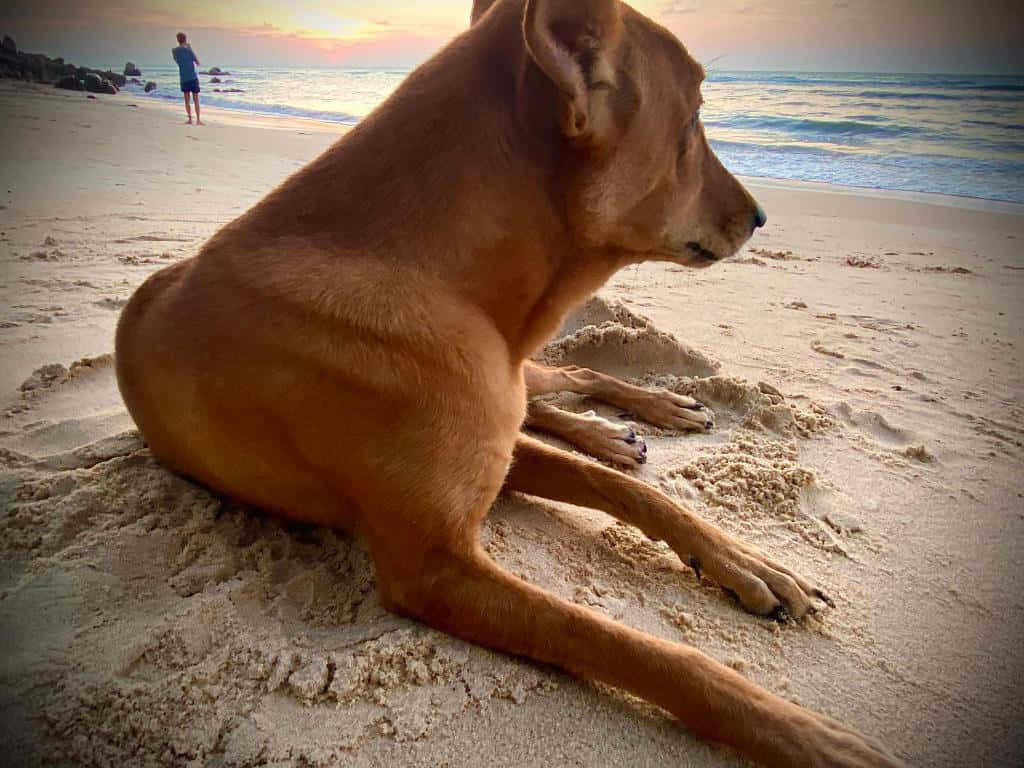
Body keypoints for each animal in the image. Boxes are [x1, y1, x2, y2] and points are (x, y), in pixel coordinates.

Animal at [114, 3, 905, 765]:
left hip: (527, 389)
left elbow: (630, 493)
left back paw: (643, 414)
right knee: (551, 397)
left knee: (569, 378)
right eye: (692, 123)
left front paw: (746, 562)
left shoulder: (492, 445)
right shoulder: (436, 566)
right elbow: (639, 649)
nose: (762, 216)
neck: (435, 272)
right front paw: (813, 737)